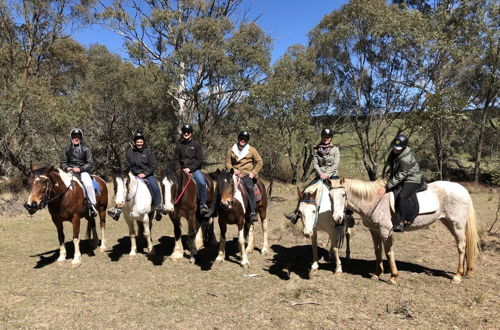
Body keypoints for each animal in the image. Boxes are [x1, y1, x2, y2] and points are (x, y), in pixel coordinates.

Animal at [328, 178, 480, 284]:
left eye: (343, 194)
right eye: (329, 195)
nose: (337, 218)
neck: (374, 200)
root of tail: (463, 190)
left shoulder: (385, 231)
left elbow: (389, 252)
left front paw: (393, 277)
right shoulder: (374, 230)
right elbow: (378, 251)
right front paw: (377, 273)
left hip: (457, 225)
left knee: (461, 246)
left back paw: (457, 276)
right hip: (449, 223)